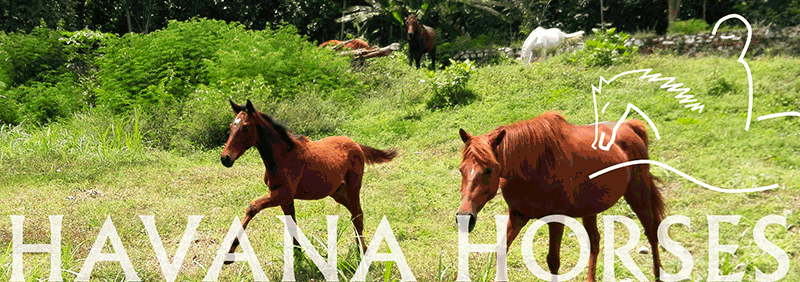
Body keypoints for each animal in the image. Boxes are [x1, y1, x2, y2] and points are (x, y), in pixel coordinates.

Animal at [219, 99, 396, 258]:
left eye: (245, 127)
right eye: (231, 126)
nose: (225, 158)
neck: (282, 156)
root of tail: (357, 145)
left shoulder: (283, 194)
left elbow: (252, 207)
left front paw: (230, 250)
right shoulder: (284, 198)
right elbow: (291, 223)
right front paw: (297, 255)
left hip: (353, 187)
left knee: (358, 214)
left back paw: (363, 250)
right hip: (337, 193)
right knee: (354, 213)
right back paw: (359, 245)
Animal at [454, 111, 664, 280]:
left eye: (489, 170)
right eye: (461, 170)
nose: (465, 218)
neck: (532, 166)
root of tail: (631, 127)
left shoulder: (556, 220)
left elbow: (553, 261)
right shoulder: (517, 215)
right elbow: (500, 251)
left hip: (638, 193)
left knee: (651, 231)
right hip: (590, 208)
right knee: (595, 242)